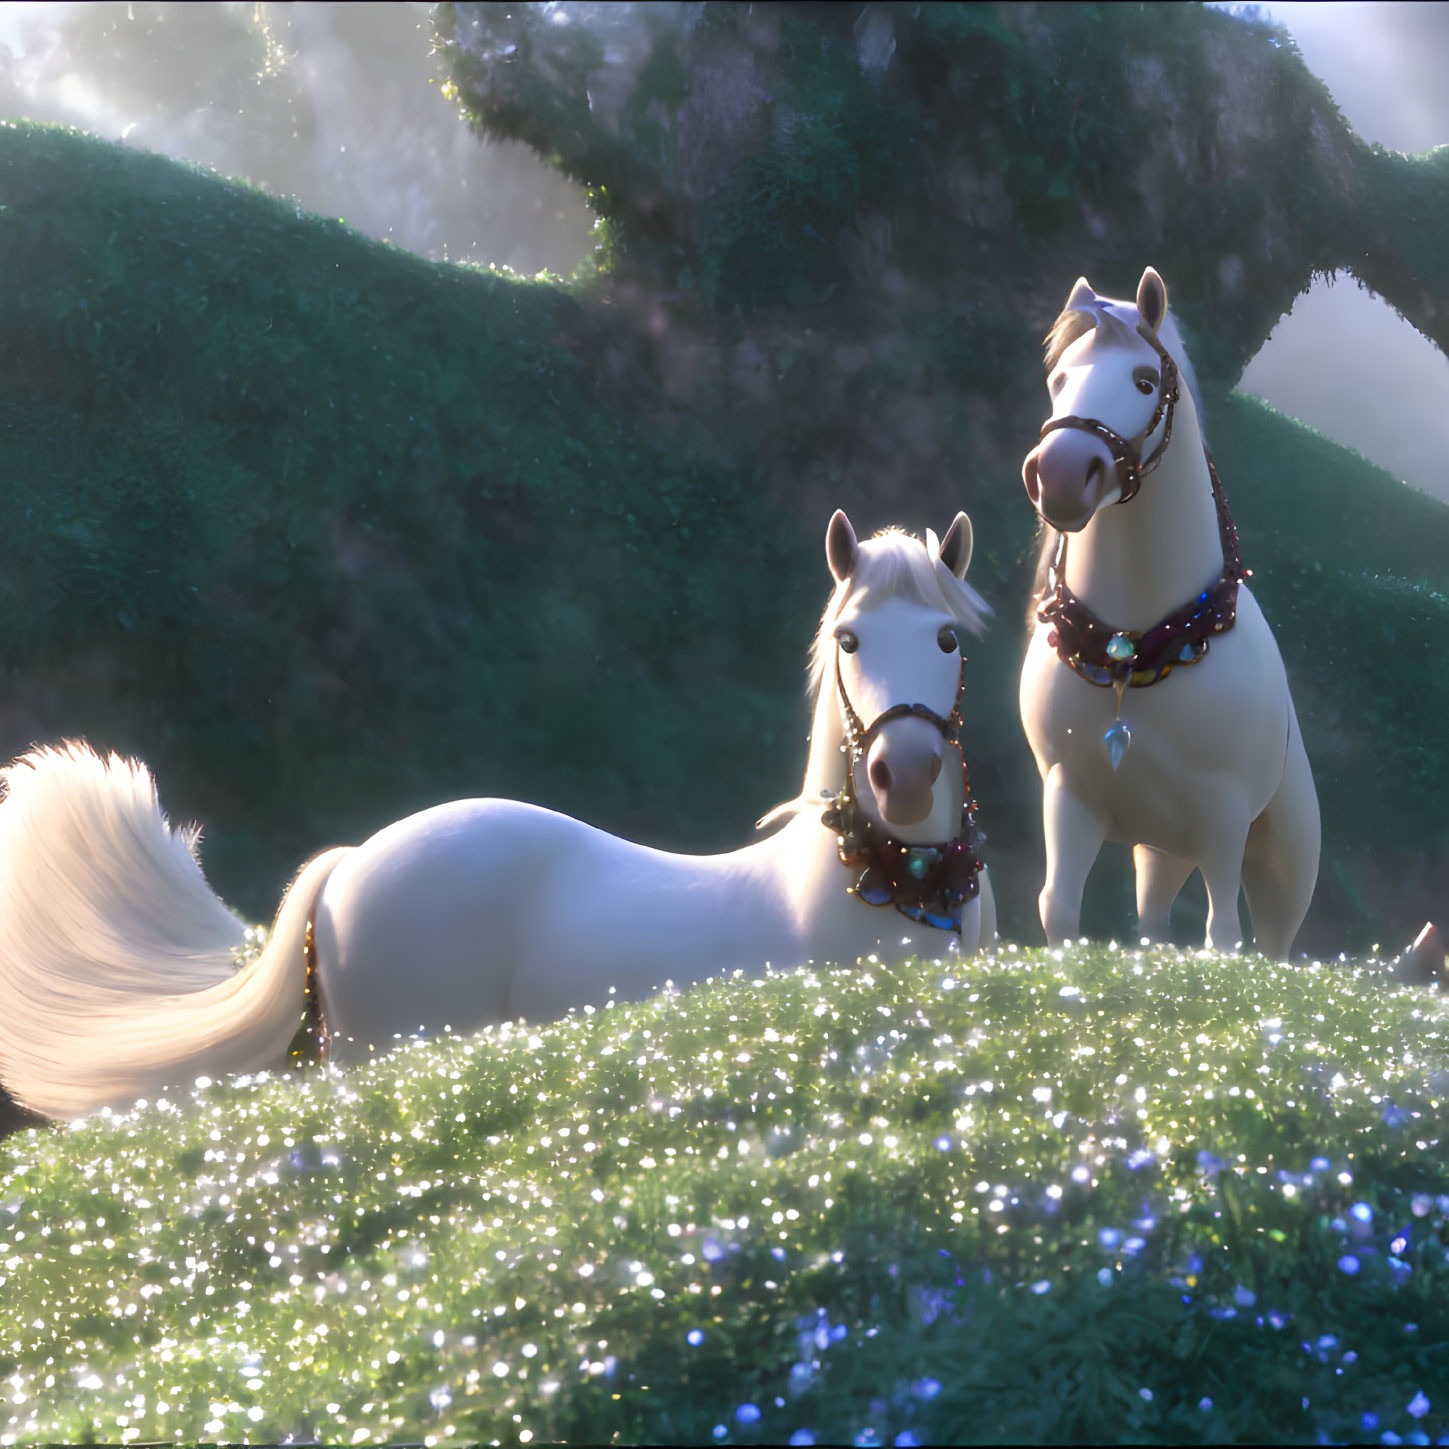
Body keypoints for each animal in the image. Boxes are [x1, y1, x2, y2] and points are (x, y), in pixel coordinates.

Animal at [1014, 266, 1321, 956]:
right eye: (1057, 379)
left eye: (1144, 381)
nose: (1060, 475)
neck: (1137, 645)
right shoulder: (1068, 794)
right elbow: (1058, 908)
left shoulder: (1223, 814)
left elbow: (1222, 935)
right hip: (1162, 849)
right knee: (1153, 923)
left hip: (1278, 867)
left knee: (1272, 945)